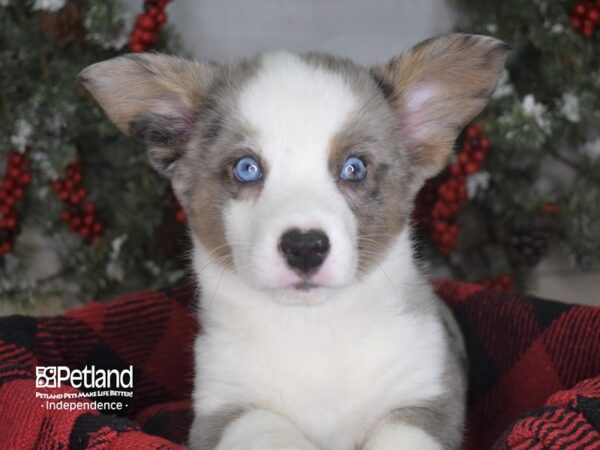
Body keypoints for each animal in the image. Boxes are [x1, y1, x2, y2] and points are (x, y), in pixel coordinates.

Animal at [79, 33, 508, 448]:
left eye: (355, 168)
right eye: (246, 168)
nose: (305, 248)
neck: (311, 324)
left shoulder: (429, 398)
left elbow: (399, 436)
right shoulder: (222, 409)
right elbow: (265, 429)